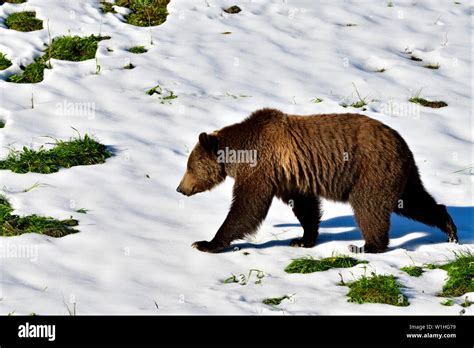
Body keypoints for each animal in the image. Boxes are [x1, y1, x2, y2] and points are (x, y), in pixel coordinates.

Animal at [176, 108, 458, 253]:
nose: (180, 188)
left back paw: (369, 245)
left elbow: (247, 207)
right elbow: (305, 207)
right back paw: (449, 228)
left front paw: (206, 242)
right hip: (401, 173)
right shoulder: (288, 175)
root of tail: (401, 142)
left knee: (369, 206)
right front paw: (302, 239)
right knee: (415, 201)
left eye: (189, 166)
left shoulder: (262, 168)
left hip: (371, 169)